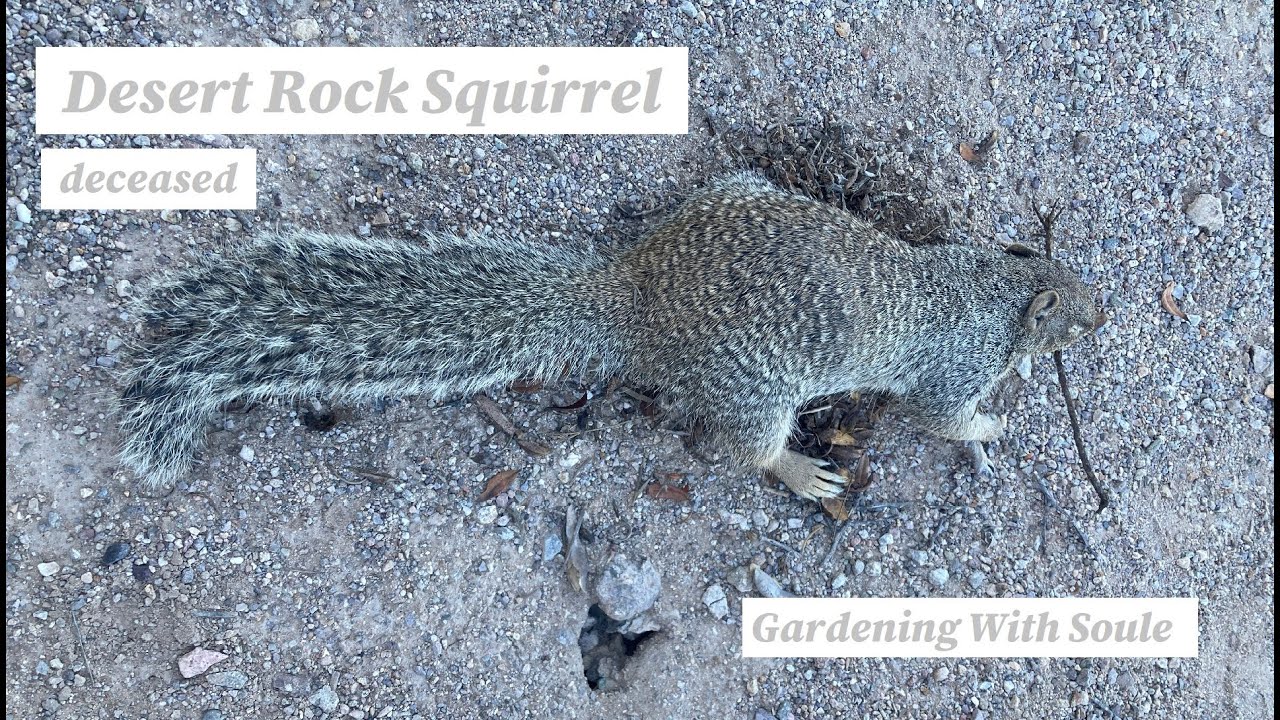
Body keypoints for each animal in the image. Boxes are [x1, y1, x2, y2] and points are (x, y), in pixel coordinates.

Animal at [118, 172, 1106, 499]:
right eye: (1080, 311)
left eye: (1089, 285)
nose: (1107, 315)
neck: (992, 286)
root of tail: (632, 293)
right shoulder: (956, 364)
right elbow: (942, 416)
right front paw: (994, 424)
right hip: (753, 387)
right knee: (746, 447)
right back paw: (801, 468)